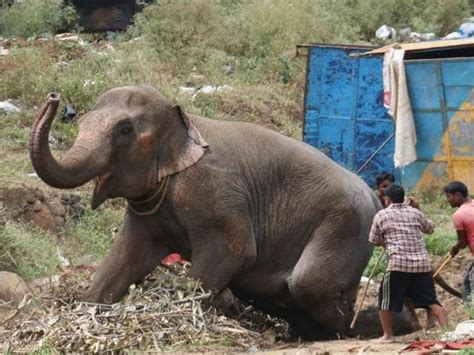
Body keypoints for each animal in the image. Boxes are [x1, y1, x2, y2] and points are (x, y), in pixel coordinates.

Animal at [29, 85, 380, 340]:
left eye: (124, 130)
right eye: (81, 123)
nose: (54, 97)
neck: (187, 123)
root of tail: (376, 197)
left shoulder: (213, 192)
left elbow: (236, 250)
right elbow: (125, 256)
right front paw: (89, 304)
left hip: (346, 226)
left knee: (308, 283)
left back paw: (349, 330)